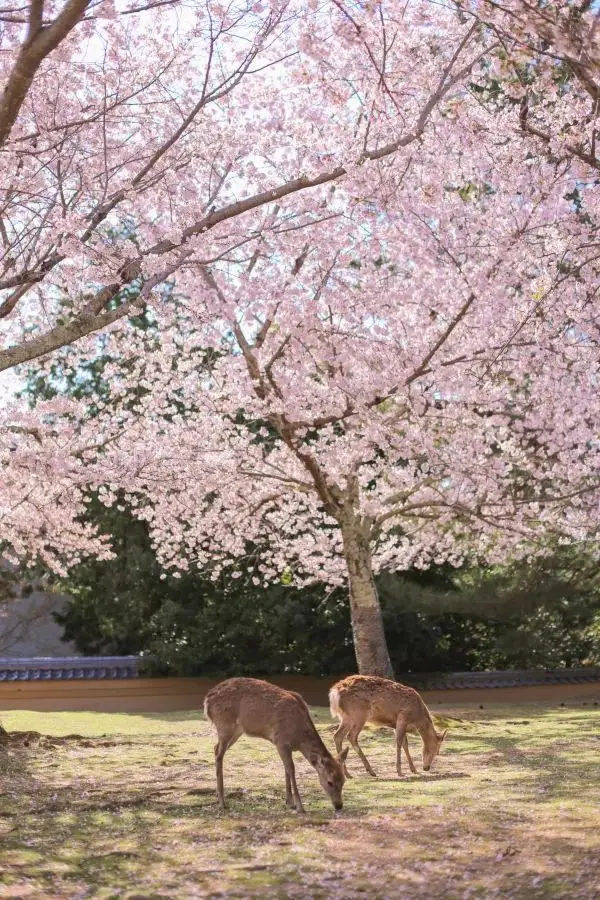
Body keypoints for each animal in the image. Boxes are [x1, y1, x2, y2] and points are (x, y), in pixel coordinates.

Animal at [204, 677, 349, 813]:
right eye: (330, 782)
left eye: (343, 780)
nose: (339, 805)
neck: (298, 738)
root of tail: (207, 701)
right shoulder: (280, 740)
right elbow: (291, 769)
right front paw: (300, 806)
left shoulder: (284, 745)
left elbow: (286, 769)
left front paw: (289, 802)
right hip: (224, 725)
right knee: (219, 754)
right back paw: (222, 802)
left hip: (236, 731)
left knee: (215, 748)